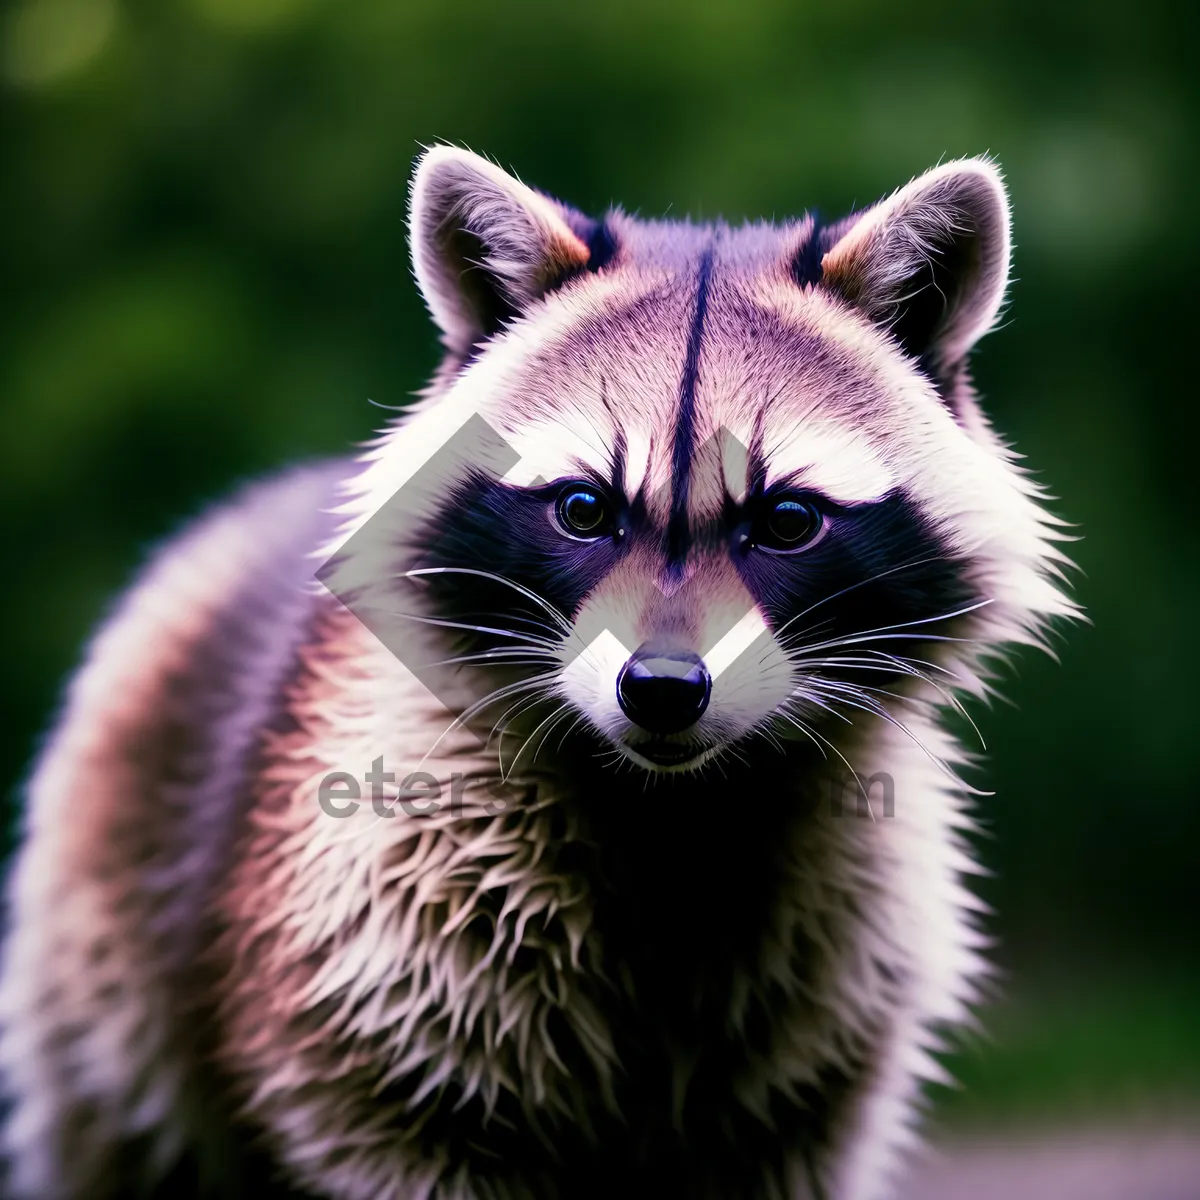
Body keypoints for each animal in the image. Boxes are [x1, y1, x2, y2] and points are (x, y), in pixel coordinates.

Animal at [0, 145, 1075, 1195]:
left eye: (785, 520)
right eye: (585, 509)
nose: (663, 689)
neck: (675, 811)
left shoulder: (817, 1053)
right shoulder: (379, 993)